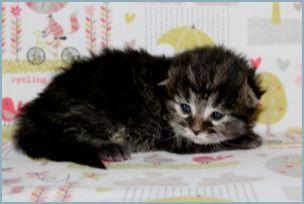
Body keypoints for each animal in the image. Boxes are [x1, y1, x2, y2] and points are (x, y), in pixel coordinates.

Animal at [12, 46, 264, 169]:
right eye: (185, 107)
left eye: (217, 114)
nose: (195, 129)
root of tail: (36, 109)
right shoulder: (170, 136)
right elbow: (207, 144)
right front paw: (247, 139)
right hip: (93, 108)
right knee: (68, 133)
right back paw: (109, 148)